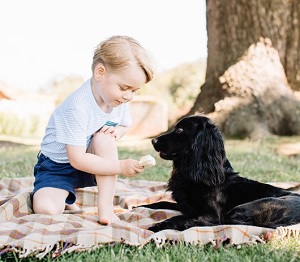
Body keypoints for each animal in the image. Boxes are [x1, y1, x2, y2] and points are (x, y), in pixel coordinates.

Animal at [142, 114, 300, 231]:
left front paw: (156, 227)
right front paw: (139, 207)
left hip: (241, 209)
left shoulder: (210, 216)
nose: (153, 140)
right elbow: (161, 202)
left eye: (180, 130)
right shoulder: (186, 207)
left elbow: (179, 218)